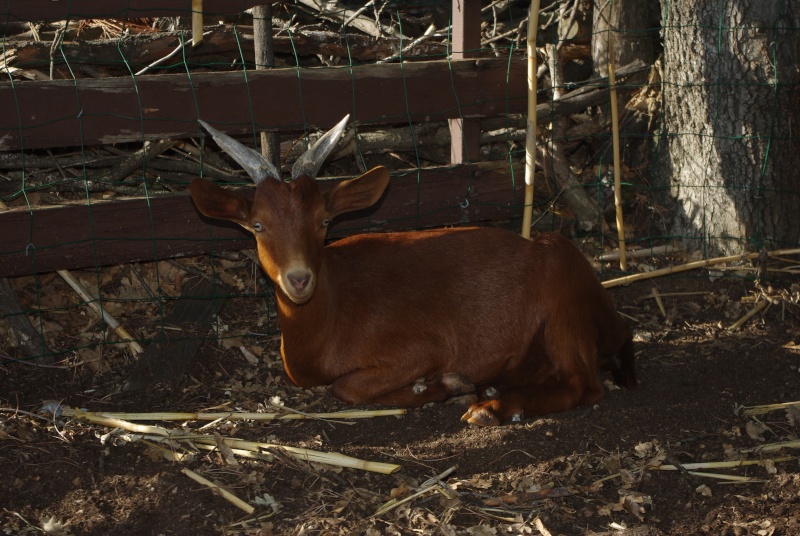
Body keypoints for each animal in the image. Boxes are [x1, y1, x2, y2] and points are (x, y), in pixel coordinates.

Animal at [191, 115, 636, 426]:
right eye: (257, 225)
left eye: (323, 221)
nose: (299, 279)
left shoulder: (422, 347)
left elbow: (345, 388)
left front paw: (445, 386)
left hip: (563, 305)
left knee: (583, 384)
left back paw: (491, 408)